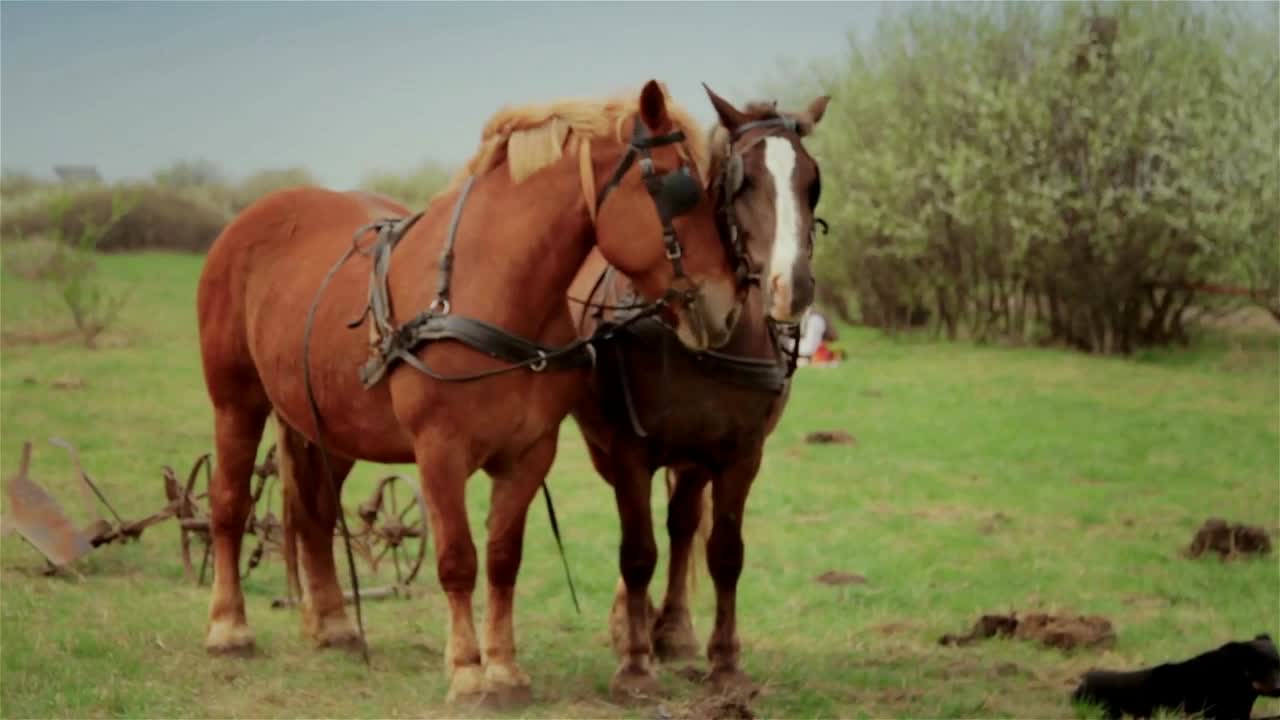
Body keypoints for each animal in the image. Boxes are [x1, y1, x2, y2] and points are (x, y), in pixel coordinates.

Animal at [194, 79, 747, 702]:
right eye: (679, 186)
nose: (727, 306)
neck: (493, 289)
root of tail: (247, 221)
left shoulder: (529, 453)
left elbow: (504, 557)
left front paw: (503, 667)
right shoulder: (440, 451)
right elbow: (457, 558)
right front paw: (466, 669)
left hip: (329, 424)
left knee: (315, 513)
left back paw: (334, 624)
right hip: (236, 400)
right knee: (228, 503)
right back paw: (228, 628)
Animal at [568, 87, 829, 691]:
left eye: (812, 181)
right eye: (744, 181)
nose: (793, 287)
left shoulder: (741, 455)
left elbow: (724, 552)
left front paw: (725, 660)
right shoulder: (629, 450)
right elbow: (636, 550)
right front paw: (635, 661)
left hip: (692, 456)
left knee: (683, 522)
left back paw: (675, 630)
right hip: (606, 446)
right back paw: (632, 621)